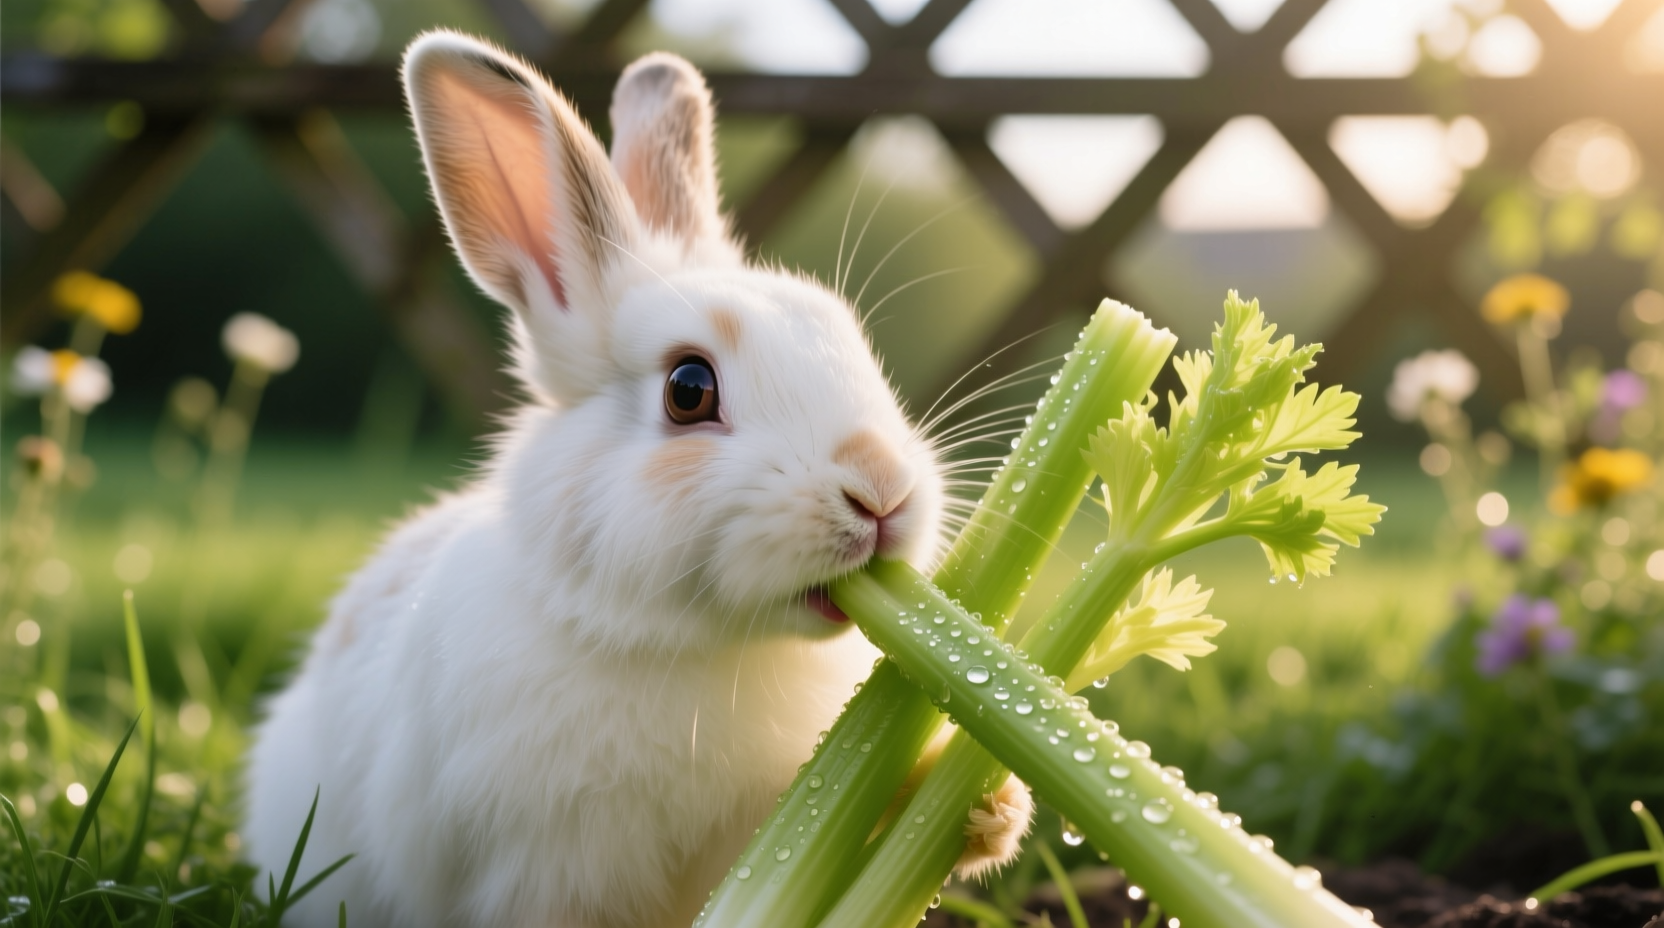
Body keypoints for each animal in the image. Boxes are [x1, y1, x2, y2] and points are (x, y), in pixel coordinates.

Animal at [242, 31, 1032, 928]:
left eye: (845, 336)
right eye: (689, 389)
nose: (882, 492)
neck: (700, 649)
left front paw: (990, 808)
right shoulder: (546, 867)